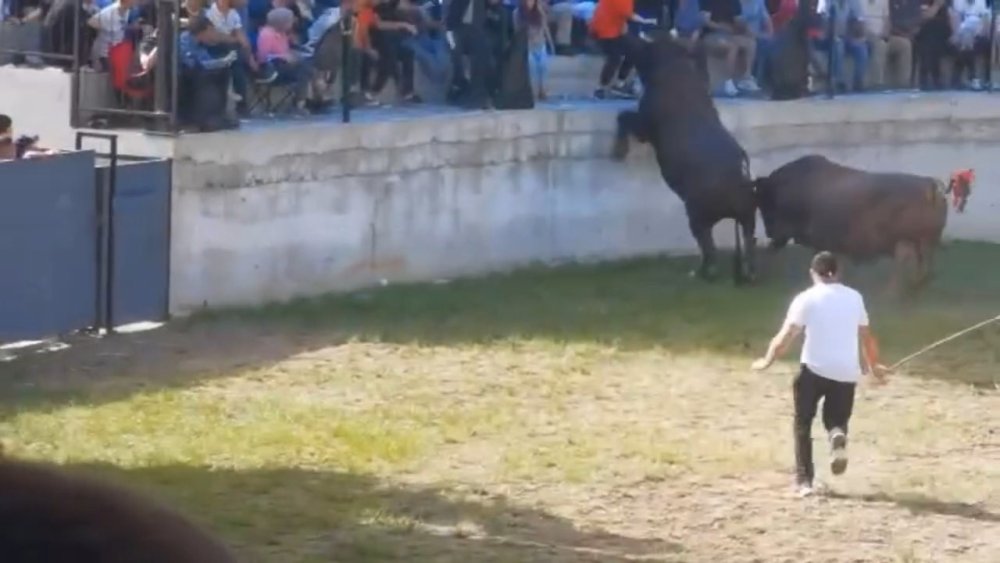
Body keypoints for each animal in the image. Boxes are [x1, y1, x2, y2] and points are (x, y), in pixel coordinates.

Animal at [608, 33, 756, 284]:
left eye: (648, 47)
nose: (627, 37)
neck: (672, 67)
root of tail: (739, 178)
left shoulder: (645, 126)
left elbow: (623, 116)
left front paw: (618, 152)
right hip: (748, 218)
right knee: (748, 243)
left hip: (696, 214)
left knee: (709, 247)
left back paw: (700, 273)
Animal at [752, 155, 972, 294]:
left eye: (764, 202)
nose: (769, 231)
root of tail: (929, 185)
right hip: (922, 240)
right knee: (923, 261)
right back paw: (916, 284)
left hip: (906, 240)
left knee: (906, 259)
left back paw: (892, 291)